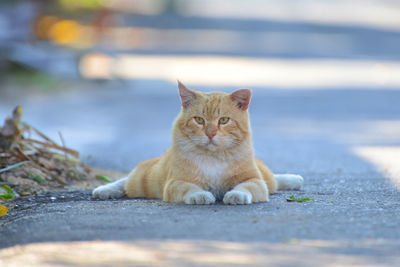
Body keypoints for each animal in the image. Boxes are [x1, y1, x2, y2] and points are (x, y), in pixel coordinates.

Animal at [91, 81, 304, 205]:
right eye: (199, 120)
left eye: (224, 120)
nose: (210, 133)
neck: (213, 158)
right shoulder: (175, 183)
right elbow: (190, 188)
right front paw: (200, 195)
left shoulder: (254, 180)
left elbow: (246, 187)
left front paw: (237, 195)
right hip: (142, 180)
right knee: (126, 181)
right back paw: (105, 190)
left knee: (273, 179)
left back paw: (294, 179)